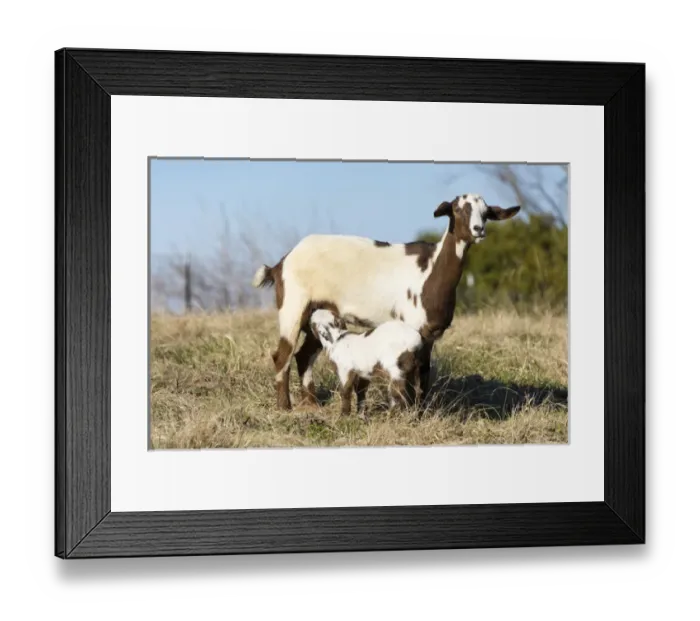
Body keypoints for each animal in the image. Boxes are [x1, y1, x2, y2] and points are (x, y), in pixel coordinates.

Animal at [252, 193, 520, 409]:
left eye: (486, 213)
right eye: (457, 209)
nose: (478, 229)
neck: (430, 270)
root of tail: (281, 264)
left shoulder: (429, 333)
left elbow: (424, 372)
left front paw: (421, 410)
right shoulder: (411, 327)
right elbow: (411, 372)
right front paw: (410, 410)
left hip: (318, 314)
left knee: (303, 356)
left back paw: (311, 404)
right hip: (293, 305)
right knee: (283, 355)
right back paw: (285, 407)